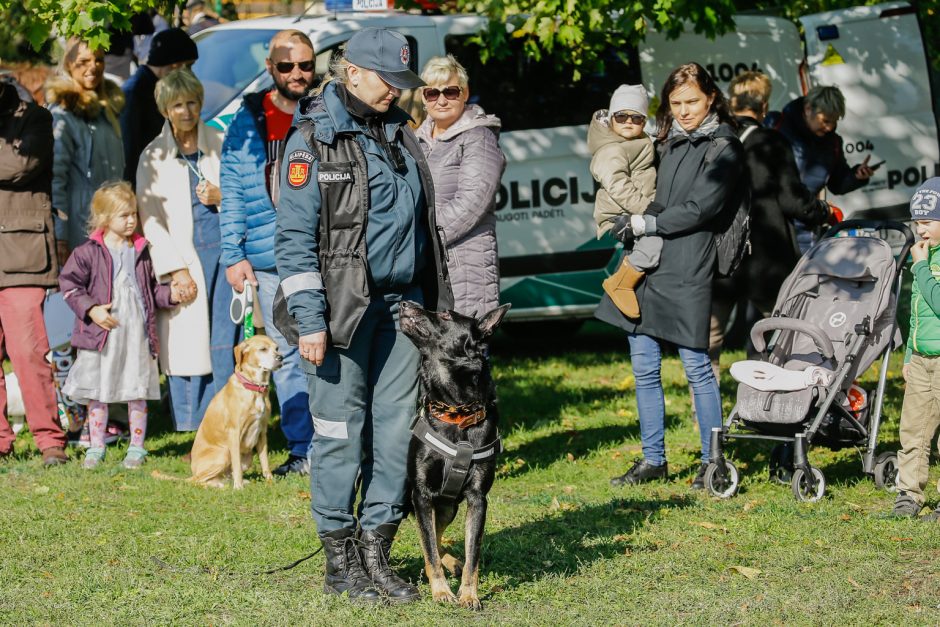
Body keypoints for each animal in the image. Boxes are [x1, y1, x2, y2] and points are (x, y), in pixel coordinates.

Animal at [188, 336, 282, 488]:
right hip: (223, 453)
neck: (254, 388)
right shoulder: (235, 433)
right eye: (263, 349)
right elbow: (236, 465)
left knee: (224, 476)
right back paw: (221, 487)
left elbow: (265, 462)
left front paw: (270, 481)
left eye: (277, 348)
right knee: (199, 481)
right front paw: (238, 487)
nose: (281, 357)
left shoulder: (262, 432)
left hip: (247, 457)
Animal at [400, 302, 510, 612]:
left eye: (446, 315)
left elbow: (473, 554)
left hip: (448, 507)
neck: (456, 412)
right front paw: (440, 592)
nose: (405, 303)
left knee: (438, 537)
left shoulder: (477, 499)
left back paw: (452, 563)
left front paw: (469, 595)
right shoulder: (422, 494)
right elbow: (428, 549)